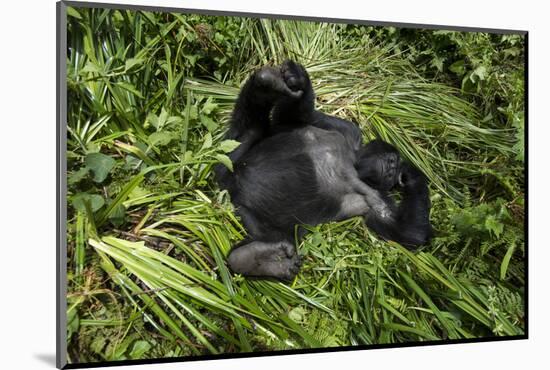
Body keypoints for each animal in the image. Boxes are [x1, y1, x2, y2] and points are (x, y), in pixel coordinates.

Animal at [213, 60, 434, 280]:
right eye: (392, 159)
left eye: (394, 167)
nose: (392, 168)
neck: (353, 164)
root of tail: (229, 190)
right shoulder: (347, 130)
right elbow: (292, 119)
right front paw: (298, 78)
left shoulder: (377, 198)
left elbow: (407, 232)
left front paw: (412, 176)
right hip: (226, 162)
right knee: (252, 128)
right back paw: (267, 84)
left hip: (247, 213)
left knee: (274, 236)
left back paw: (258, 259)